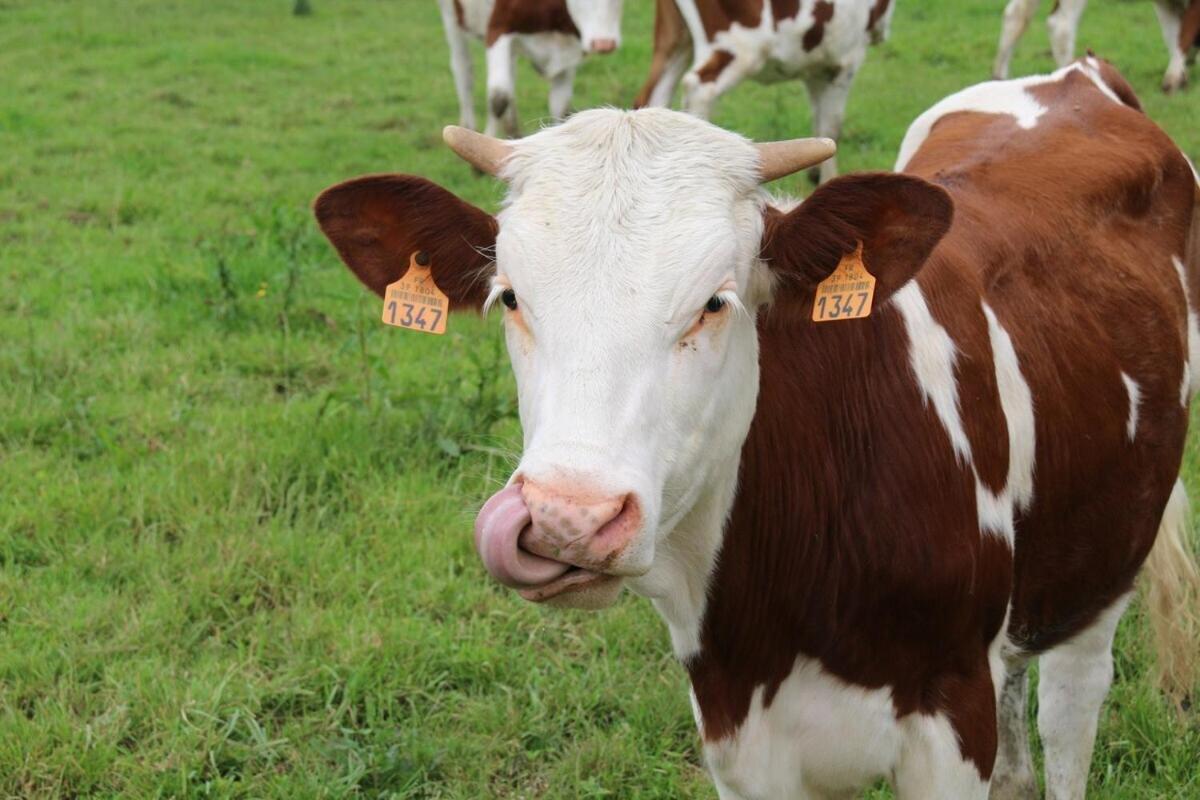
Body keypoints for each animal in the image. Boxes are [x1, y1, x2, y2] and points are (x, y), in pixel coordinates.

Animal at [316, 54, 1200, 796]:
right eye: (509, 297)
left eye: (715, 301)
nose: (568, 518)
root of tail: (1075, 74)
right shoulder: (739, 732)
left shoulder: (951, 726)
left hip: (1099, 568)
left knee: (1070, 712)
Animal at [436, 0, 624, 136]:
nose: (604, 44)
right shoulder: (498, 29)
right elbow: (498, 99)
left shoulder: (568, 55)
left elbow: (561, 108)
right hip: (451, 17)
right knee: (463, 69)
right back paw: (469, 126)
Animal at [633, 0, 897, 183]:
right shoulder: (844, 63)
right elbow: (832, 128)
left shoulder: (817, 67)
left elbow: (819, 122)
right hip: (738, 47)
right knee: (700, 89)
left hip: (674, 40)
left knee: (652, 96)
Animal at [993, 0, 1200, 91]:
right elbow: (1183, 31)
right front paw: (1174, 78)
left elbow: (1173, 30)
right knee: (1060, 24)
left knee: (1015, 14)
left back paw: (999, 76)